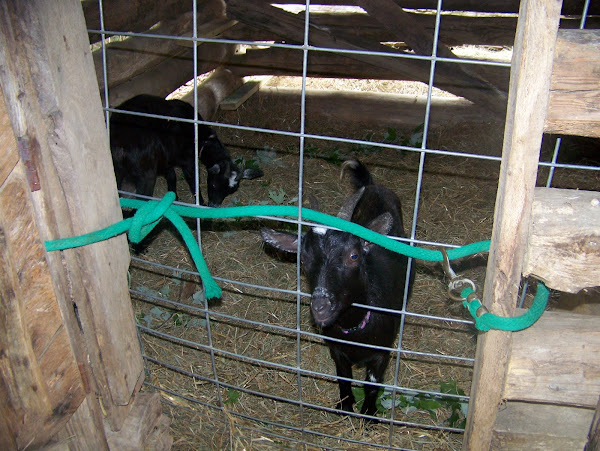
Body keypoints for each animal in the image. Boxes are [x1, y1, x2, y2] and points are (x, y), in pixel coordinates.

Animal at [109, 96, 262, 208]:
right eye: (213, 184)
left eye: (230, 191)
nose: (214, 205)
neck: (202, 139)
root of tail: (121, 143)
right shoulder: (187, 161)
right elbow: (193, 181)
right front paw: (200, 203)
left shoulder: (166, 159)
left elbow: (172, 176)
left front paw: (174, 197)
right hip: (145, 173)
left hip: (116, 169)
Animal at [260, 160, 410, 420]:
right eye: (303, 260)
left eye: (354, 255)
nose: (320, 307)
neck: (355, 327)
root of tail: (372, 186)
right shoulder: (337, 351)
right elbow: (344, 378)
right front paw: (346, 407)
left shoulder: (382, 353)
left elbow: (372, 384)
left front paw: (369, 415)